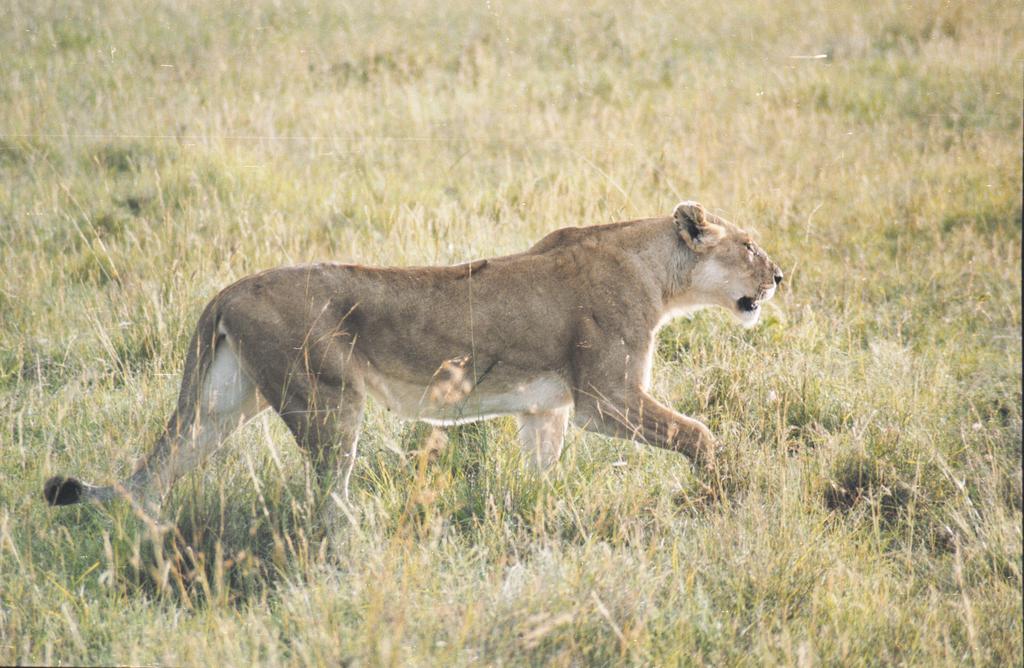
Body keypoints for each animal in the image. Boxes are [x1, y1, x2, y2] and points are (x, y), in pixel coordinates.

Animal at [43, 201, 782, 517]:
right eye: (749, 244)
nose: (779, 276)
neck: (657, 271)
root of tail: (227, 290)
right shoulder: (606, 397)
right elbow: (699, 432)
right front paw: (722, 491)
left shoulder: (547, 408)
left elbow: (542, 473)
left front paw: (539, 512)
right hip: (326, 401)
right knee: (326, 500)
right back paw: (353, 540)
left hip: (222, 405)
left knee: (160, 473)